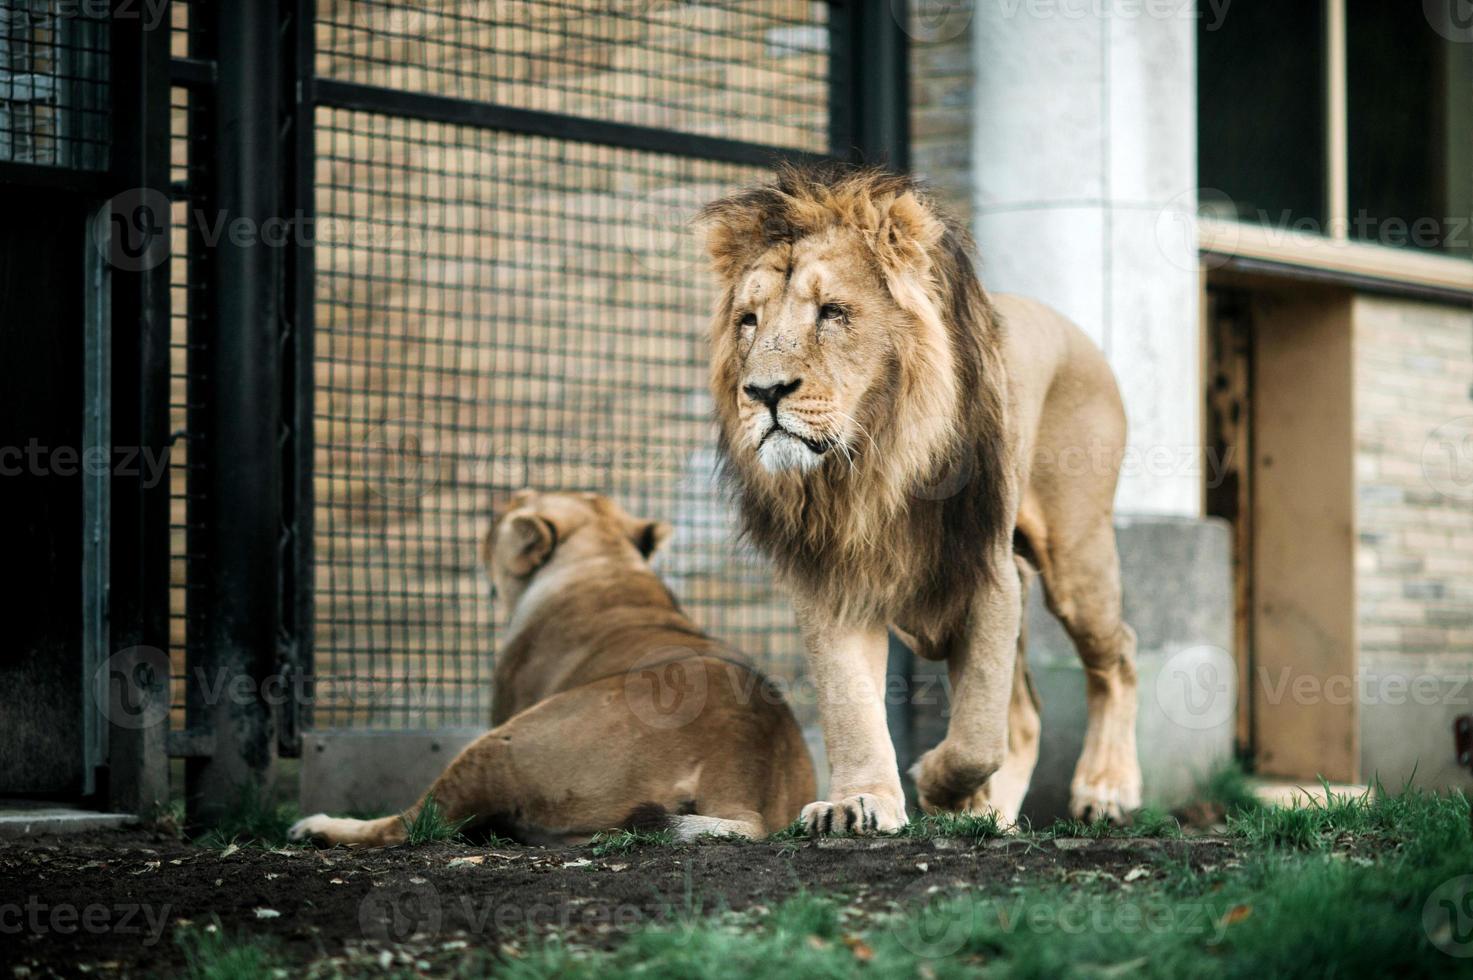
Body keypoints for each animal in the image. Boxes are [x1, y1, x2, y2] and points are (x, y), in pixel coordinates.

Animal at [287, 492, 818, 842]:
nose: (501, 502)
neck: (606, 563)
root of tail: (740, 767)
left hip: (502, 743)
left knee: (412, 825)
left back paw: (317, 826)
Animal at [698, 166, 1137, 831]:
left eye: (833, 312)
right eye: (749, 320)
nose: (764, 391)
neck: (868, 468)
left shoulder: (987, 572)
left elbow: (978, 733)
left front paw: (937, 787)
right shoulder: (832, 581)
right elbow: (851, 705)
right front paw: (860, 800)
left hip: (1076, 556)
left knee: (1118, 657)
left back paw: (1105, 788)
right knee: (1027, 715)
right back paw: (996, 814)